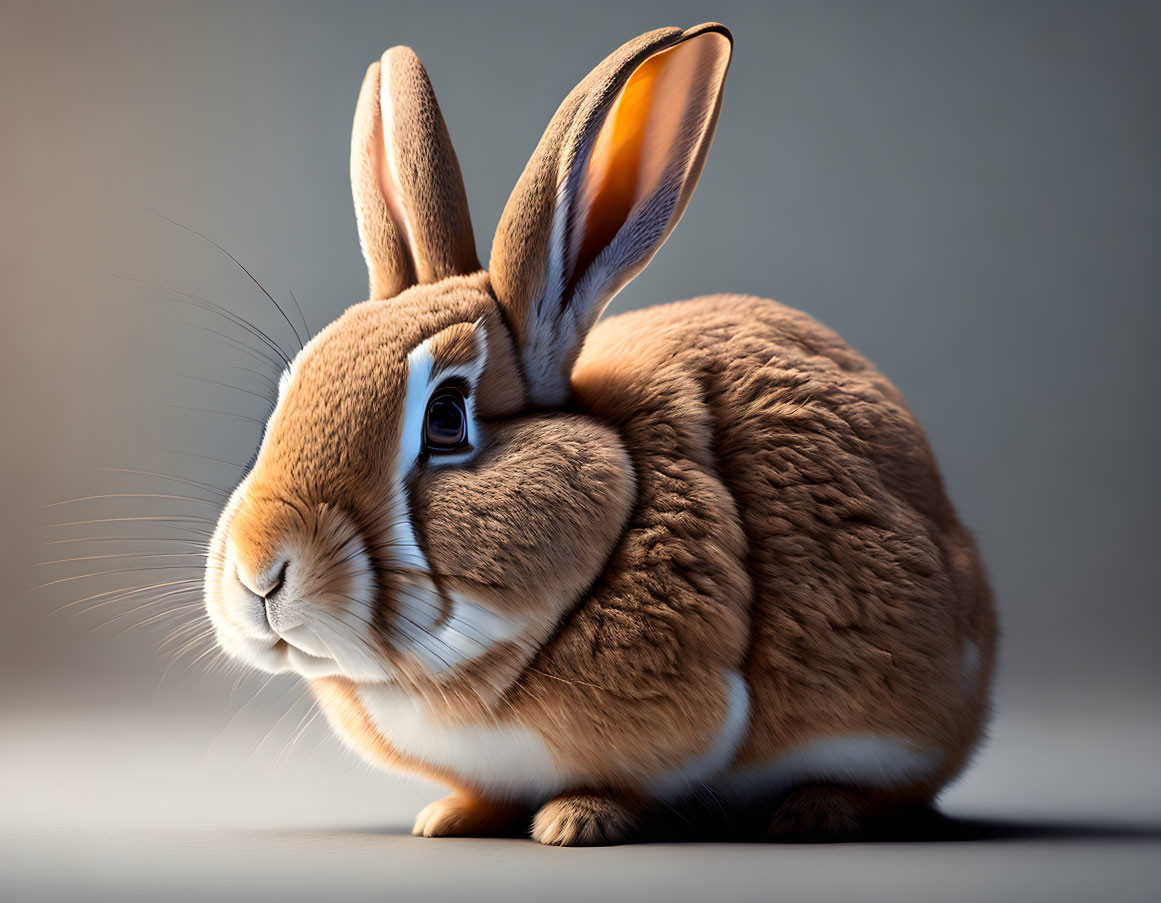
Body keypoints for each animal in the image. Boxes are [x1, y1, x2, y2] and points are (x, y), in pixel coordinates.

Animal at [202, 22, 998, 844]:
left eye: (447, 418)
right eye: (289, 390)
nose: (260, 572)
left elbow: (628, 782)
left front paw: (574, 822)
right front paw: (449, 817)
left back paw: (817, 810)